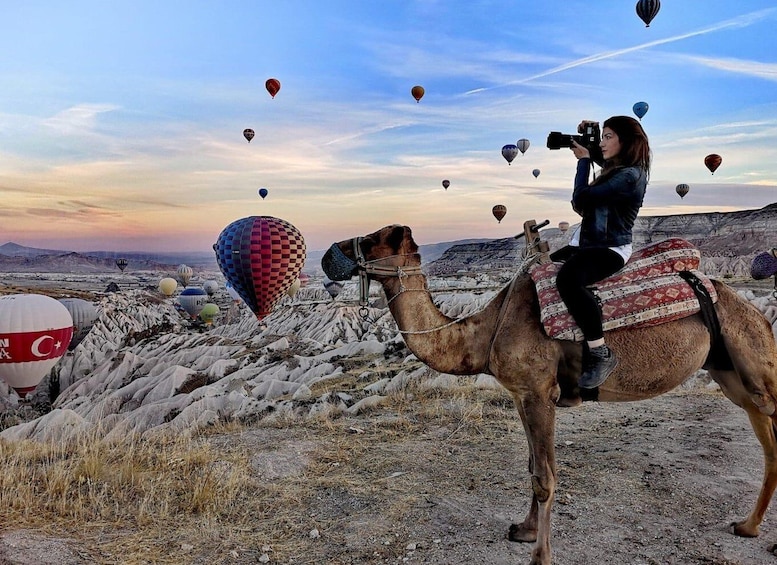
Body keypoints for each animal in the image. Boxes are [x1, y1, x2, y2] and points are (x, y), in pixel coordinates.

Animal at [320, 223, 776, 564]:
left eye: (376, 237)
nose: (328, 254)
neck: (486, 330)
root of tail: (753, 310)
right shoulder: (522, 394)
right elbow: (533, 467)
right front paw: (523, 530)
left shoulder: (540, 392)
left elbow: (545, 477)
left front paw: (540, 555)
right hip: (732, 374)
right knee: (768, 443)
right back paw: (747, 527)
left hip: (755, 362)